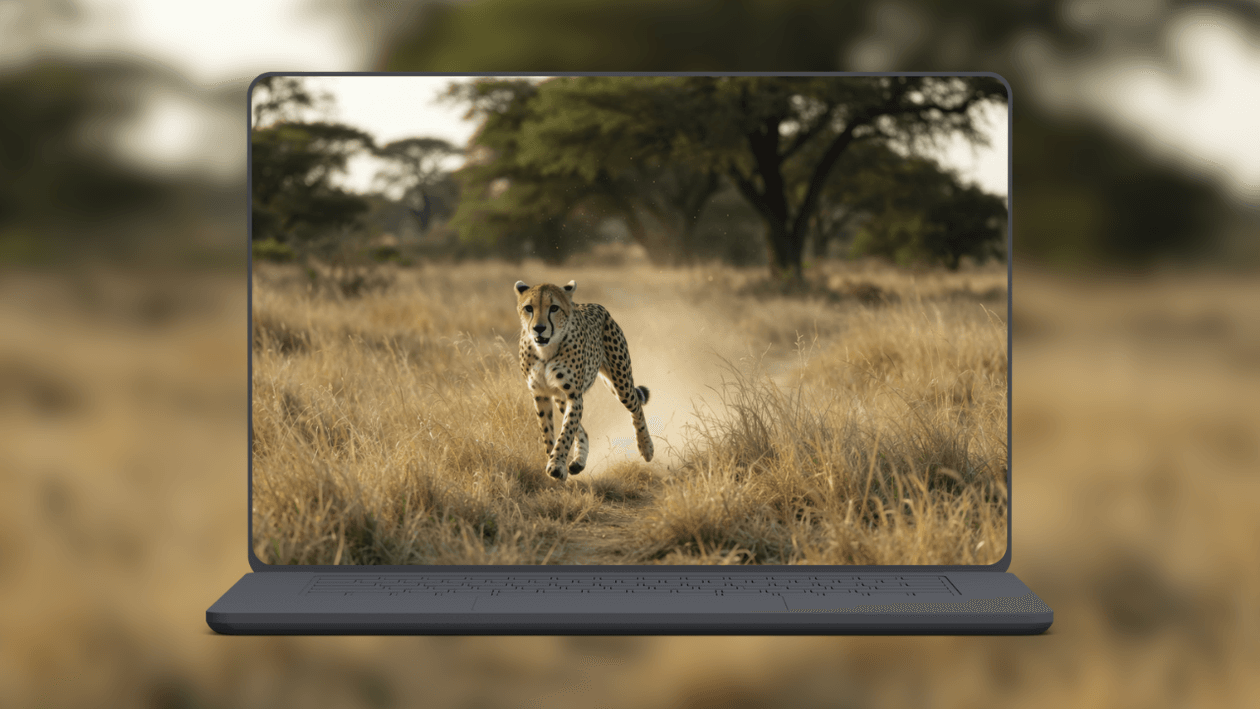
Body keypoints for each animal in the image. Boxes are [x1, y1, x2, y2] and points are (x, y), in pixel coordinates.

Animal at [514, 279, 654, 481]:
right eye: (529, 308)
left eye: (554, 308)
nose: (539, 329)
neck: (546, 350)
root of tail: (597, 306)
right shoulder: (541, 395)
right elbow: (548, 432)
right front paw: (555, 462)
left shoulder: (574, 395)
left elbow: (566, 431)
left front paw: (556, 465)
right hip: (565, 396)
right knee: (583, 431)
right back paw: (578, 462)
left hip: (620, 382)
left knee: (636, 407)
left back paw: (646, 447)